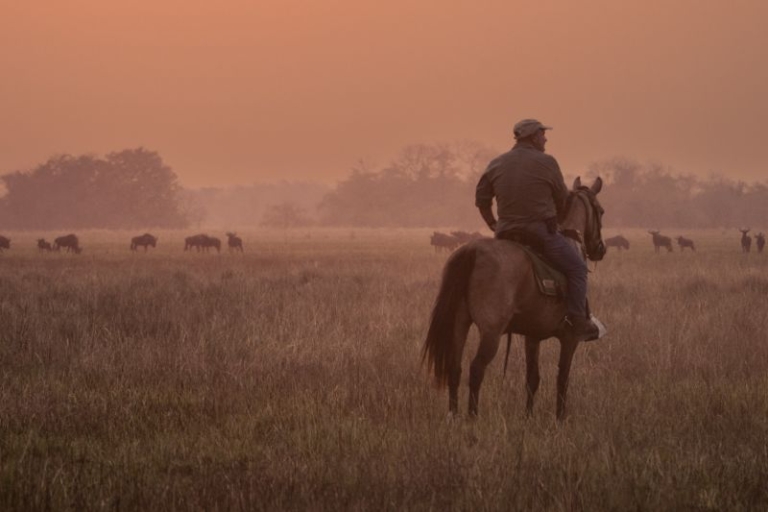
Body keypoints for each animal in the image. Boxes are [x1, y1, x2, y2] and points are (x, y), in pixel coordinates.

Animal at [422, 177, 606, 420]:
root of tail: (473, 251)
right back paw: (472, 418)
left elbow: (532, 378)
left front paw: (528, 417)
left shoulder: (533, 336)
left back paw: (454, 416)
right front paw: (560, 418)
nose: (600, 249)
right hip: (491, 333)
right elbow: (562, 379)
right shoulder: (570, 338)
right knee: (476, 369)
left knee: (455, 367)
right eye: (601, 211)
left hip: (459, 323)